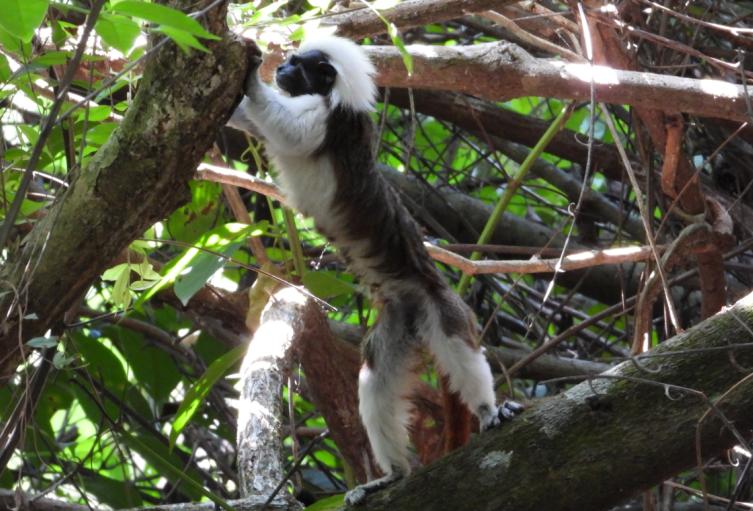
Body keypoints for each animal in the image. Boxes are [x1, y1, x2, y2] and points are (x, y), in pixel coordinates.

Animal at [228, 35, 523, 505]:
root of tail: (419, 299)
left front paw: (252, 76)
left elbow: (287, 130)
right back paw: (394, 474)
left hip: (440, 304)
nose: (282, 70)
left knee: (459, 347)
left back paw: (488, 410)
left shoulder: (329, 124)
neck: (329, 97)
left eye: (298, 65)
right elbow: (252, 124)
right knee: (375, 382)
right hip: (399, 323)